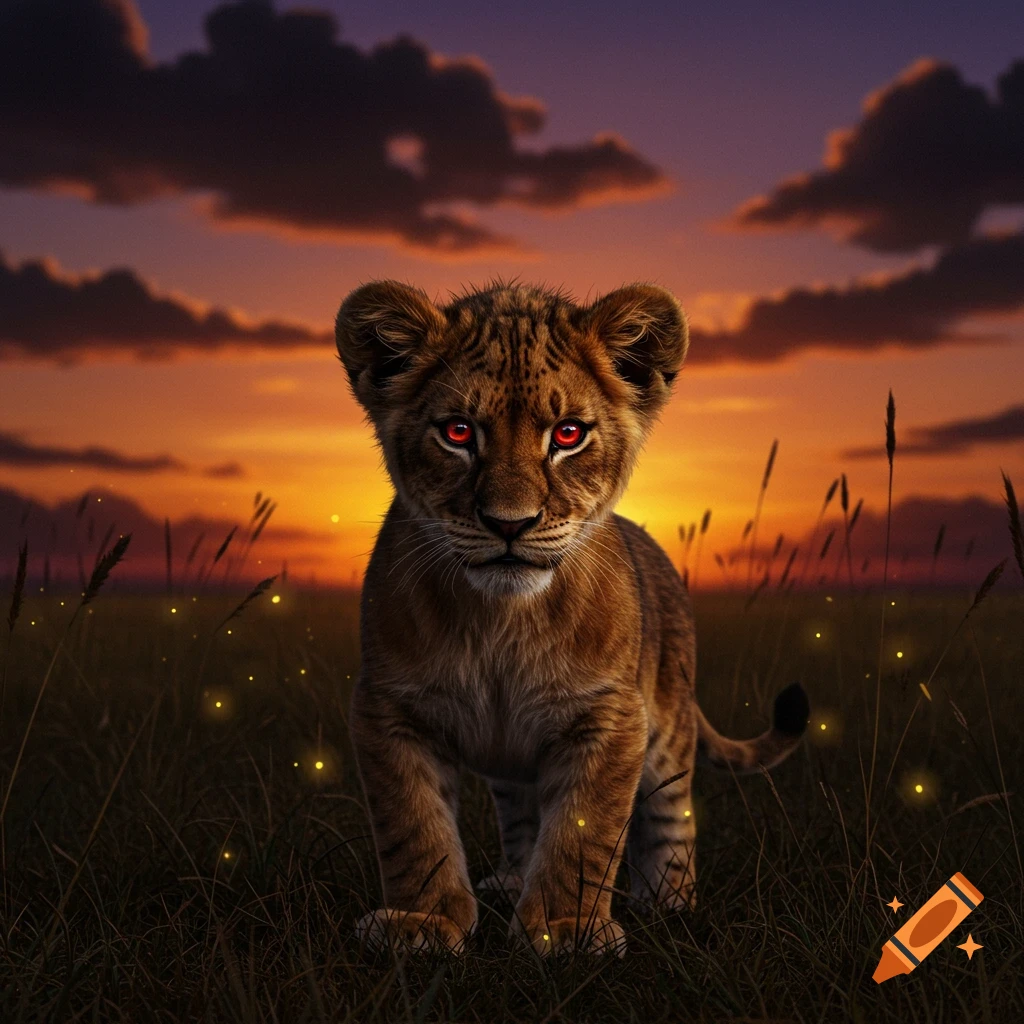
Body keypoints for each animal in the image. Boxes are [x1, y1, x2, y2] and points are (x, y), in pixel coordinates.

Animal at [335, 280, 809, 956]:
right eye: (458, 432)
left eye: (567, 434)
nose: (509, 524)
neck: (501, 621)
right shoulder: (387, 707)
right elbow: (413, 825)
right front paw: (422, 922)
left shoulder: (609, 716)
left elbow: (584, 832)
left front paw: (564, 928)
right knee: (521, 814)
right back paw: (510, 879)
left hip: (668, 724)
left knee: (671, 816)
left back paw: (669, 903)